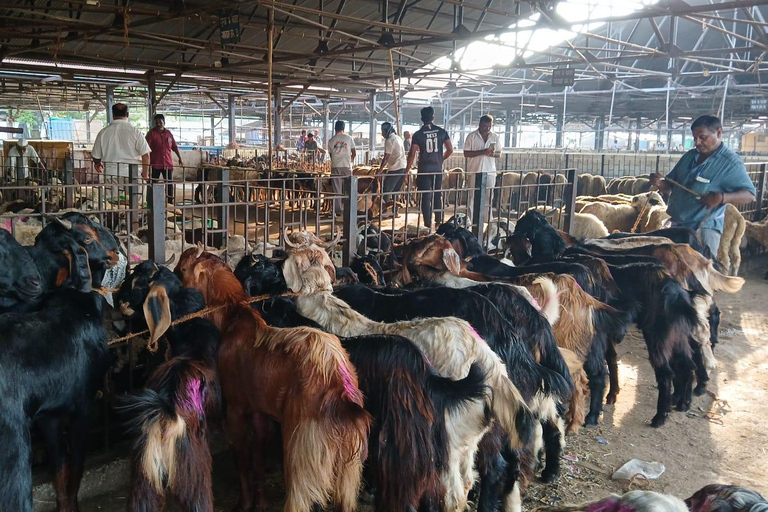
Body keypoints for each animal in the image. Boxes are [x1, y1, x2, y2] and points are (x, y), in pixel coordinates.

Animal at [174, 248, 372, 512]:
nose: (175, 278)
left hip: (302, 448)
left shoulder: (236, 407)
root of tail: (338, 388)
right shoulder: (260, 411)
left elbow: (242, 457)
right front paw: (261, 501)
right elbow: (258, 455)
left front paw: (244, 502)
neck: (235, 318)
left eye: (184, 268)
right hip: (348, 467)